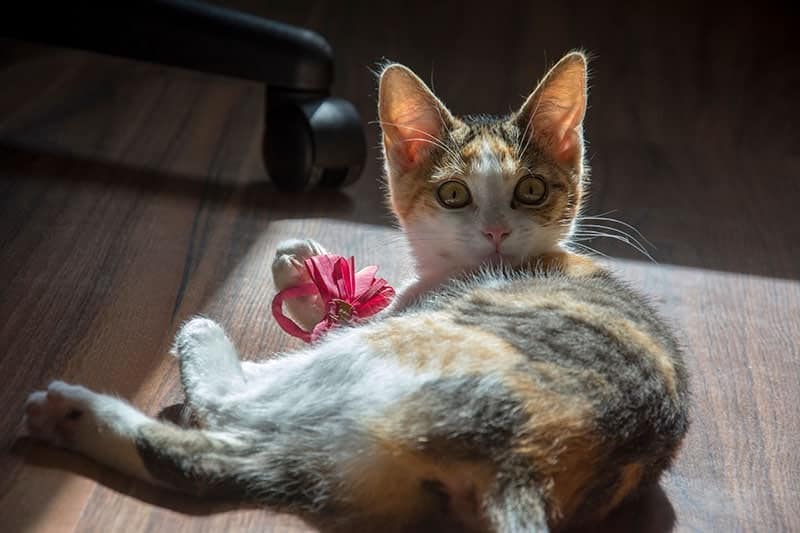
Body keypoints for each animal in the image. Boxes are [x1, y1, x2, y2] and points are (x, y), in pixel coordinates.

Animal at [23, 51, 688, 532]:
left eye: (530, 190)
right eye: (454, 195)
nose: (496, 231)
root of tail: (527, 459)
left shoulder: (416, 307)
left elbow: (351, 319)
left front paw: (298, 273)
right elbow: (344, 308)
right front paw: (303, 270)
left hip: (408, 352)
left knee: (234, 405)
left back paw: (174, 356)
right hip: (362, 464)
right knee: (227, 458)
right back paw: (75, 420)